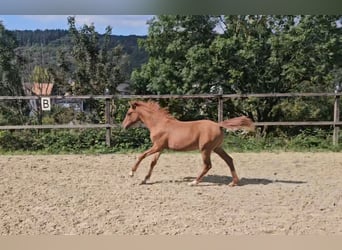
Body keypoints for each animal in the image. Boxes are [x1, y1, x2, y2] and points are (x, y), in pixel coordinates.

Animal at [122, 100, 254, 186]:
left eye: (129, 113)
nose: (123, 126)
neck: (159, 123)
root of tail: (218, 125)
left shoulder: (157, 146)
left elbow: (141, 155)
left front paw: (131, 173)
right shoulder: (160, 147)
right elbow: (153, 163)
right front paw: (144, 180)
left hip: (205, 149)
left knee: (208, 165)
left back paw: (194, 182)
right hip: (217, 148)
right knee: (229, 159)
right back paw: (233, 182)